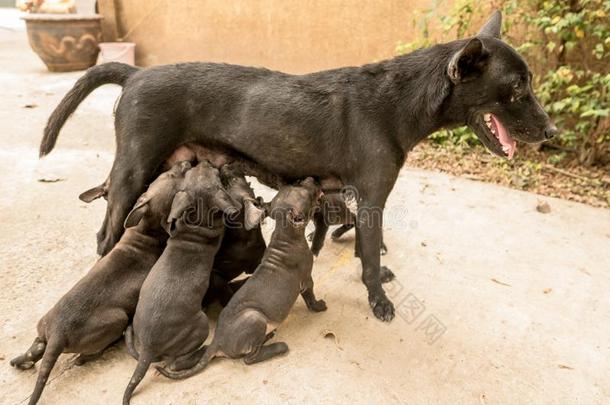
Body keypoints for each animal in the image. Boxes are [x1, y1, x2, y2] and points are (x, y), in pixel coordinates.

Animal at [8, 161, 190, 404]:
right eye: (171, 176)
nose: (185, 162)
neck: (144, 232)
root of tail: (57, 334)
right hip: (117, 319)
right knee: (86, 354)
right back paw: (87, 355)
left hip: (44, 327)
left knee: (36, 348)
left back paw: (20, 361)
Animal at [40, 10, 552, 322]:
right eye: (516, 88)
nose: (551, 133)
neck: (397, 101)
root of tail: (135, 73)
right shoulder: (372, 198)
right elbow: (369, 258)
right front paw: (379, 301)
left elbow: (367, 246)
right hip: (133, 172)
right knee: (106, 237)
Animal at [121, 159, 240, 402]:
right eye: (213, 173)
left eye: (193, 172)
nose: (203, 161)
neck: (196, 219)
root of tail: (148, 349)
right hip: (200, 325)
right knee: (175, 362)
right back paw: (199, 352)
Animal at [157, 177, 328, 378]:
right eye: (305, 193)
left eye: (296, 184)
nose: (311, 179)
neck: (284, 236)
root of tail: (218, 342)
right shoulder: (307, 279)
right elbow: (311, 297)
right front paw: (319, 306)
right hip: (255, 318)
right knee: (250, 358)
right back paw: (277, 346)